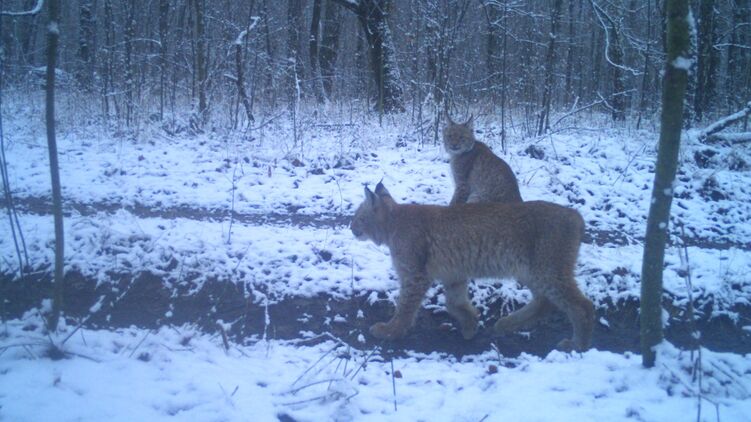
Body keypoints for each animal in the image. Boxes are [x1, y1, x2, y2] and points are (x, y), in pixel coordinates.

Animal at [350, 182, 593, 351]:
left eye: (359, 217)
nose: (351, 227)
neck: (392, 222)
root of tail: (575, 214)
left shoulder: (415, 275)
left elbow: (405, 306)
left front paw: (390, 331)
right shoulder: (454, 273)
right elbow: (453, 302)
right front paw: (469, 325)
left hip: (546, 270)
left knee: (582, 305)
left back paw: (577, 345)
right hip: (531, 270)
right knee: (545, 302)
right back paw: (506, 324)